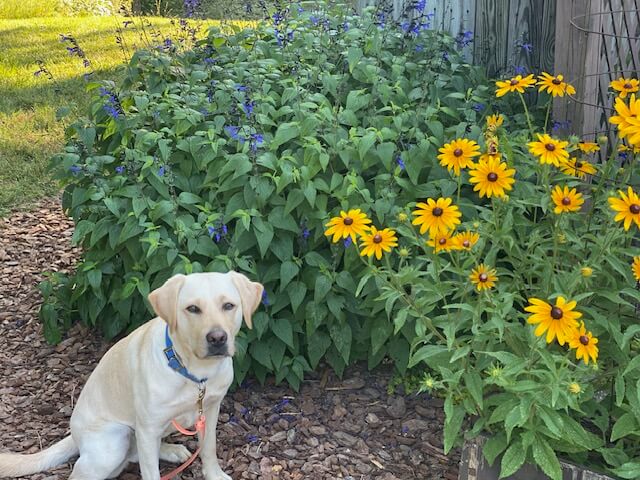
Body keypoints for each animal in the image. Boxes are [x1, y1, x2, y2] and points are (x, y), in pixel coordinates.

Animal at [0, 272, 262, 478]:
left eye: (228, 305)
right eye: (193, 309)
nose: (217, 338)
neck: (194, 374)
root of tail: (75, 436)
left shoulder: (210, 410)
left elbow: (209, 449)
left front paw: (214, 475)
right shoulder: (148, 427)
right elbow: (151, 472)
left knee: (136, 454)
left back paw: (171, 450)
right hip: (114, 442)